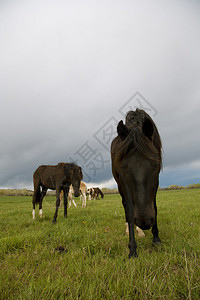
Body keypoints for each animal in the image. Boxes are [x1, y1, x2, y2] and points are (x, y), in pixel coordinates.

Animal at [111, 110, 162, 258]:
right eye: (124, 167)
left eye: (155, 164)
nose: (144, 222)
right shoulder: (124, 182)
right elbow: (129, 210)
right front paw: (132, 249)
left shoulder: (156, 181)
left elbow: (154, 207)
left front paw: (156, 238)